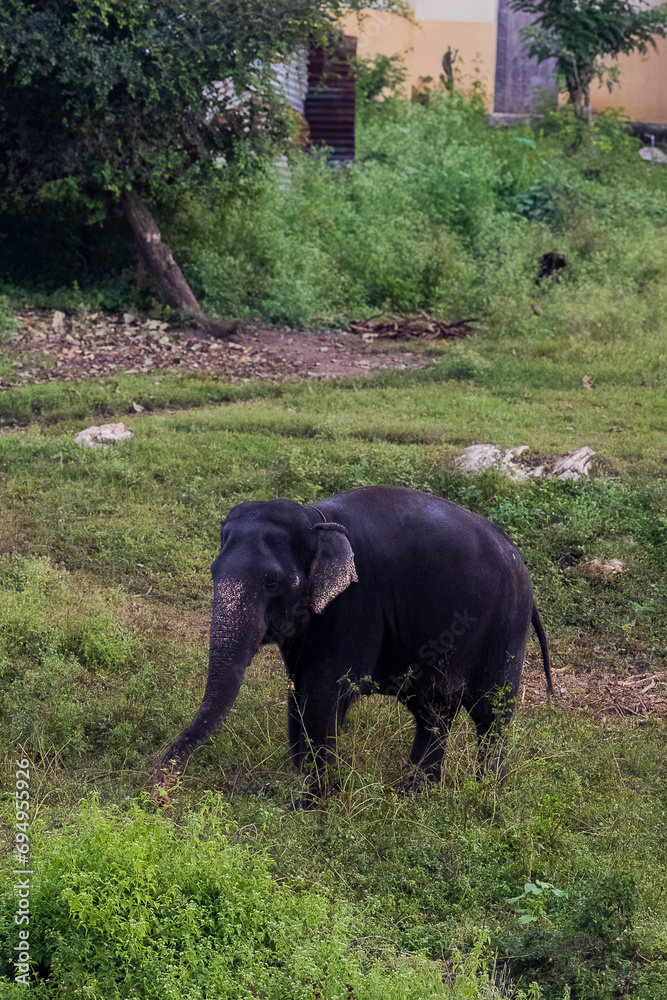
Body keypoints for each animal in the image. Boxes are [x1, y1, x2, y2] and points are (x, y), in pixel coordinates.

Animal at [154, 486, 552, 801]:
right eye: (213, 572)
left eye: (271, 582)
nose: (160, 790)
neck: (317, 518)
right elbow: (300, 693)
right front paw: (299, 788)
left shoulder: (357, 605)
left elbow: (323, 694)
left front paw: (308, 803)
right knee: (433, 710)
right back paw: (414, 795)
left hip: (506, 625)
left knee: (491, 714)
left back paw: (483, 794)